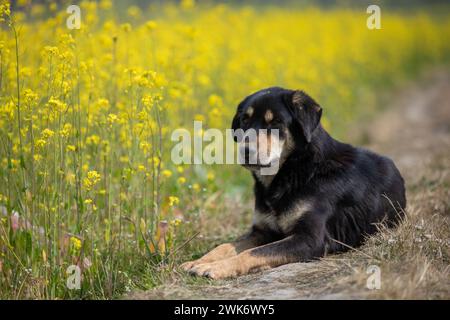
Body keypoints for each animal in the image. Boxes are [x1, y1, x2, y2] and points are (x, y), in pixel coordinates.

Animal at [181, 87, 406, 280]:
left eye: (275, 122)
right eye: (244, 120)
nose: (246, 151)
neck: (297, 169)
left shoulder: (310, 239)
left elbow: (252, 253)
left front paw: (215, 267)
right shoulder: (263, 231)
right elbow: (225, 246)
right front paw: (198, 261)